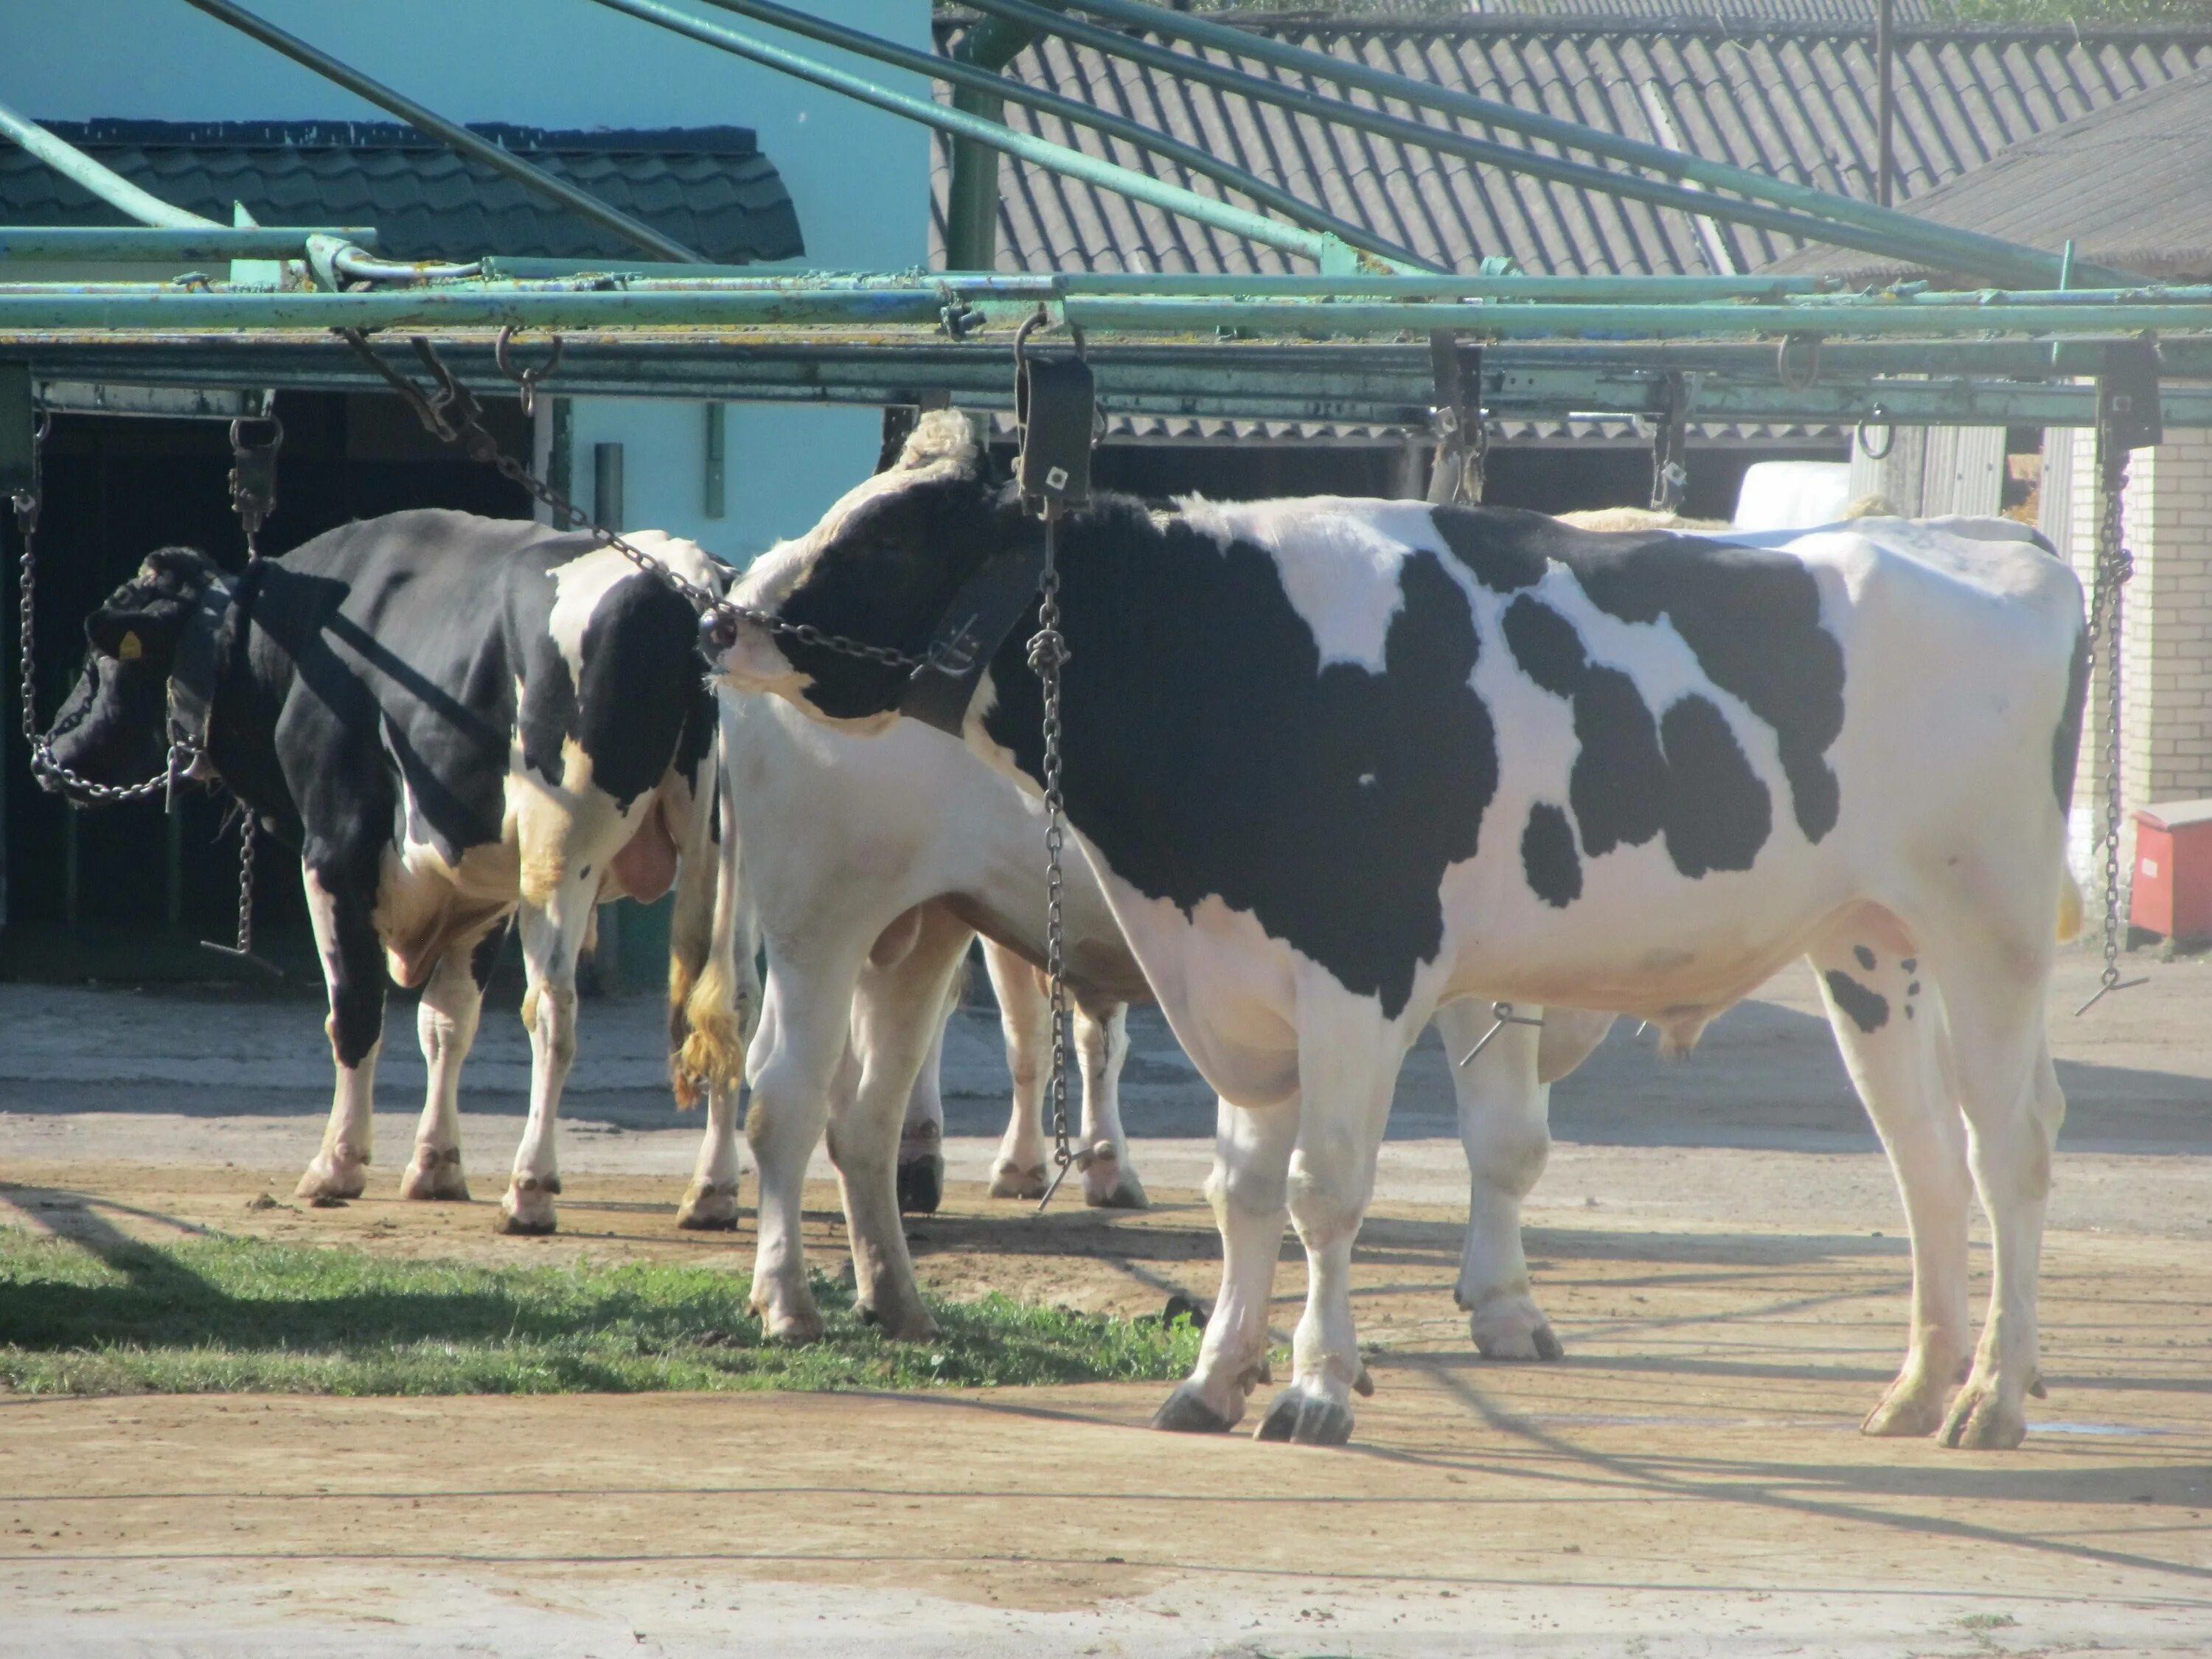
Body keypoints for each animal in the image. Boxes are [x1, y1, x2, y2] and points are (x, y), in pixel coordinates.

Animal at [43, 511, 748, 1239]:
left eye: (104, 659)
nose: (50, 751)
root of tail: (688, 575)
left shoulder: (336, 847)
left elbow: (355, 1008)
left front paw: (338, 1164)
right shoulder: (479, 881)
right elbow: (446, 1023)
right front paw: (435, 1166)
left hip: (559, 857)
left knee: (553, 1012)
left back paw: (530, 1190)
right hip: (733, 867)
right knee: (734, 1008)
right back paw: (711, 1192)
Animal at [712, 416, 2088, 1451]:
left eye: (890, 536)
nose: (723, 618)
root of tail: (1998, 540)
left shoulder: (1361, 967)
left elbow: (1328, 1191)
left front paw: (1320, 1387)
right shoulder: (1240, 975)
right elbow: (1244, 1191)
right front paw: (1216, 1376)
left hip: (1994, 930)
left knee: (2010, 1149)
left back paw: (1992, 1399)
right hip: (1868, 945)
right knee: (1925, 1158)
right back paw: (1919, 1388)